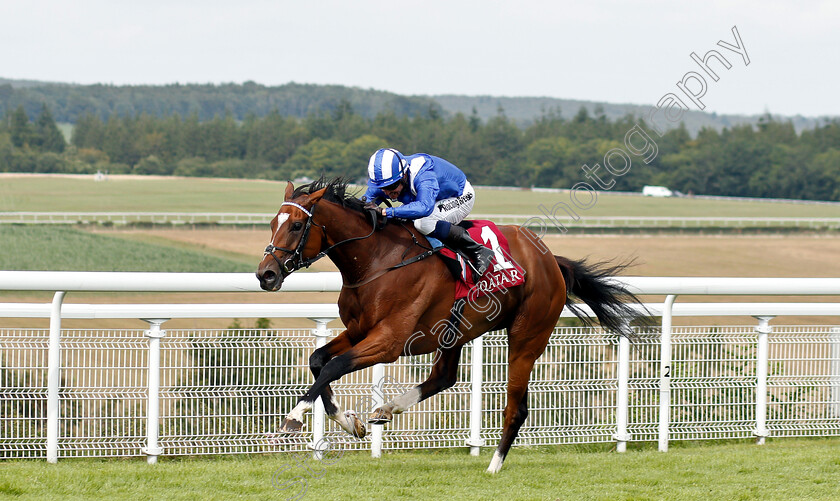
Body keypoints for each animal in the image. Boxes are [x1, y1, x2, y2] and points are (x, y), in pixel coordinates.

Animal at [256, 177, 648, 472]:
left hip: (527, 336)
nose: (266, 274)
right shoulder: (358, 331)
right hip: (455, 332)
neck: (377, 260)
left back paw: (494, 464)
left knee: (516, 407)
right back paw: (387, 409)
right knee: (444, 376)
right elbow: (318, 361)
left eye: (296, 225)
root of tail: (552, 260)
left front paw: (291, 421)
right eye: (272, 223)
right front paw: (349, 420)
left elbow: (333, 366)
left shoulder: (390, 341)